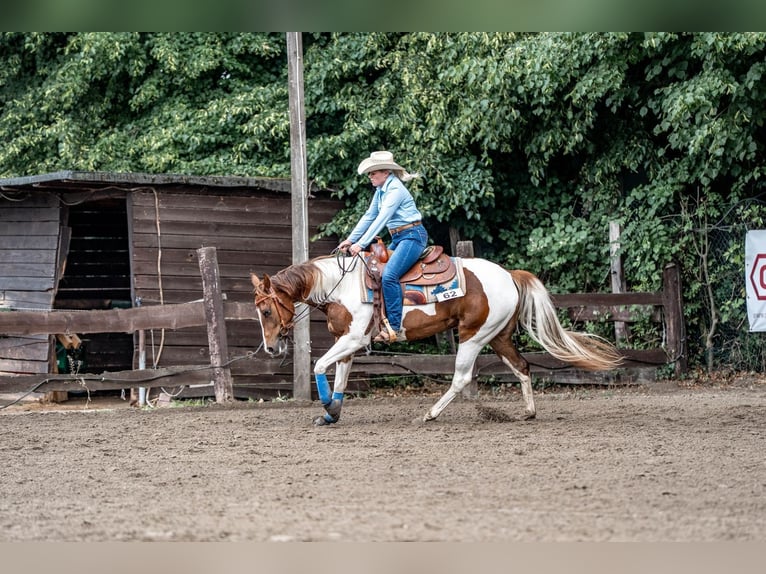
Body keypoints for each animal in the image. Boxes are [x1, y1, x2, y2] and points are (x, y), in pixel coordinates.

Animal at [250, 252, 623, 426]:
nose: (270, 347)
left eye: (266, 311)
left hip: (472, 336)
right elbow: (339, 375)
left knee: (461, 378)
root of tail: (508, 274)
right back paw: (529, 412)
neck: (338, 286)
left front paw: (327, 407)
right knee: (522, 367)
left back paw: (429, 414)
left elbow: (318, 366)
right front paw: (332, 414)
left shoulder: (354, 338)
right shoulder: (349, 341)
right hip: (498, 336)